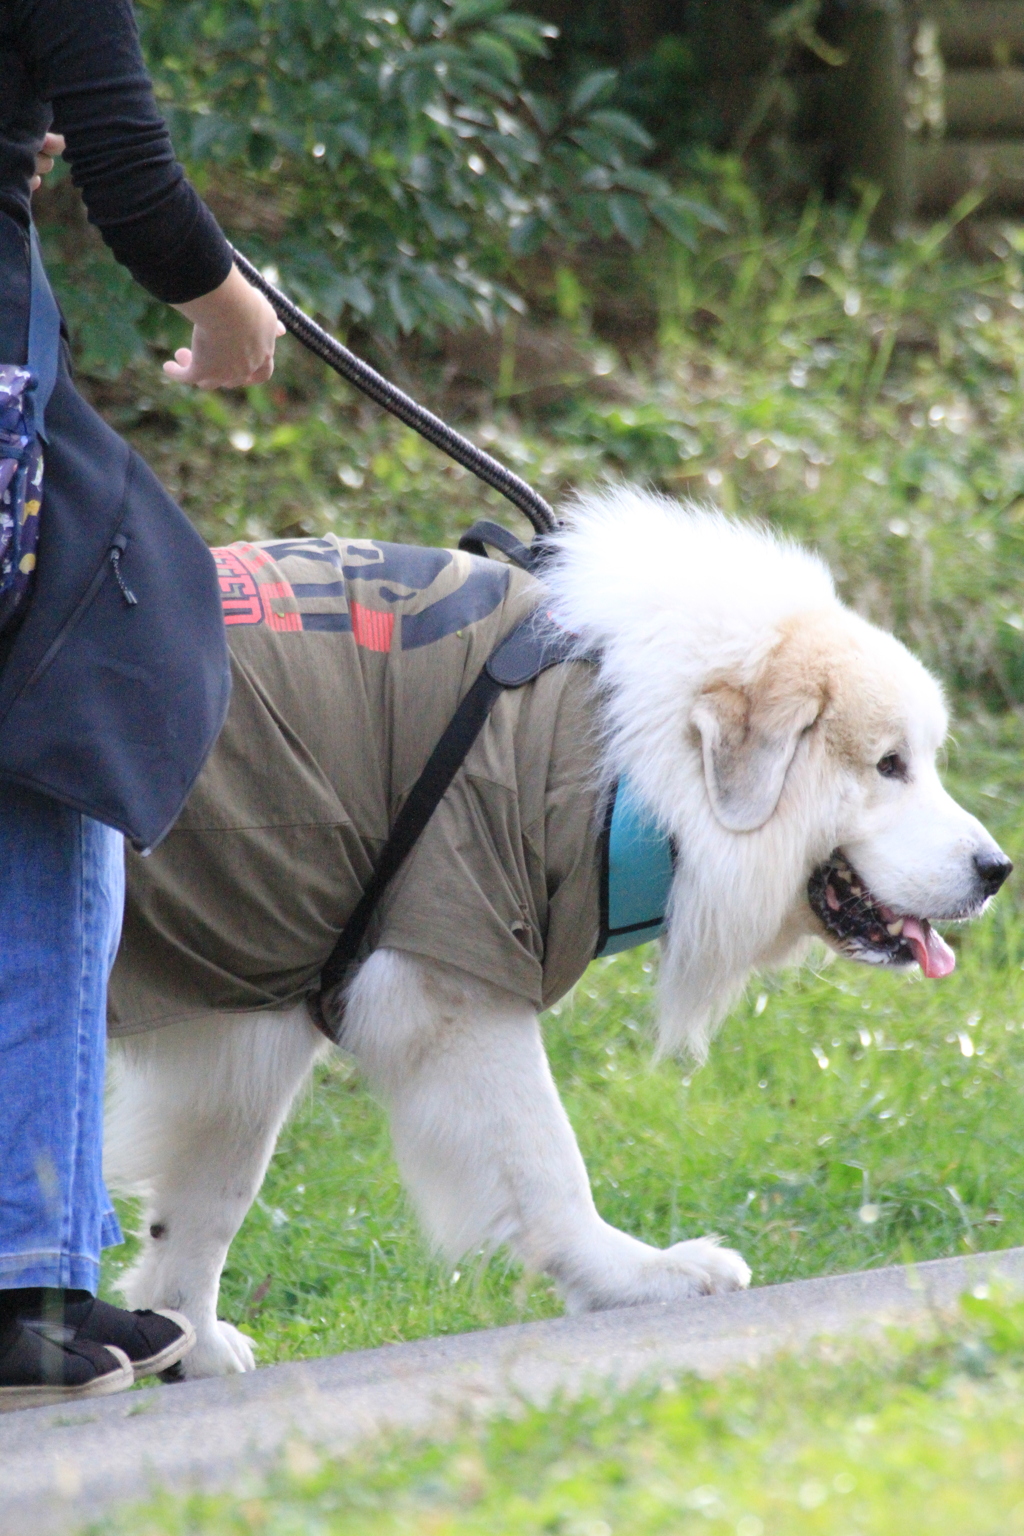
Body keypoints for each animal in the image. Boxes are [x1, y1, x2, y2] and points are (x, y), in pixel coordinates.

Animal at [104, 485, 1007, 1376]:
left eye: (925, 760)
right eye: (888, 765)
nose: (997, 869)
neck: (619, 739)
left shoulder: (266, 1006)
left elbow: (209, 1198)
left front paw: (186, 1335)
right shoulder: (455, 969)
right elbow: (545, 1165)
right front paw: (636, 1278)